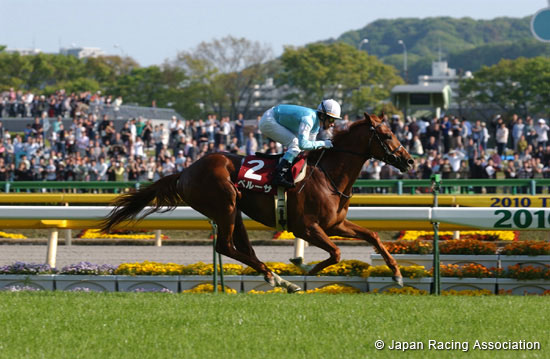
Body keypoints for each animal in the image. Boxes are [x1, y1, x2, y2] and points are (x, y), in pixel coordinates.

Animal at [102, 112, 414, 292]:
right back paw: (278, 278)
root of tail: (185, 171)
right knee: (225, 246)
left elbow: (373, 235)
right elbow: (336, 253)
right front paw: (307, 268)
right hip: (225, 204)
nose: (410, 161)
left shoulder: (336, 224)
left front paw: (397, 274)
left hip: (234, 211)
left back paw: (278, 278)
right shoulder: (306, 227)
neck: (328, 175)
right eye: (386, 135)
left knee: (242, 248)